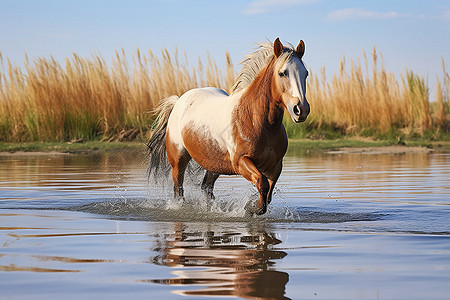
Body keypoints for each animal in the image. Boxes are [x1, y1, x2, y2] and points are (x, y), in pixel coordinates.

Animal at [148, 38, 310, 216]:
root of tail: (178, 101)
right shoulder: (241, 162)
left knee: (206, 187)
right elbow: (262, 183)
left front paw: (253, 206)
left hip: (214, 165)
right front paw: (250, 208)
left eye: (305, 73)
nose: (301, 109)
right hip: (178, 161)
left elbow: (268, 193)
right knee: (179, 190)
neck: (255, 119)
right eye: (282, 73)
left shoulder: (275, 166)